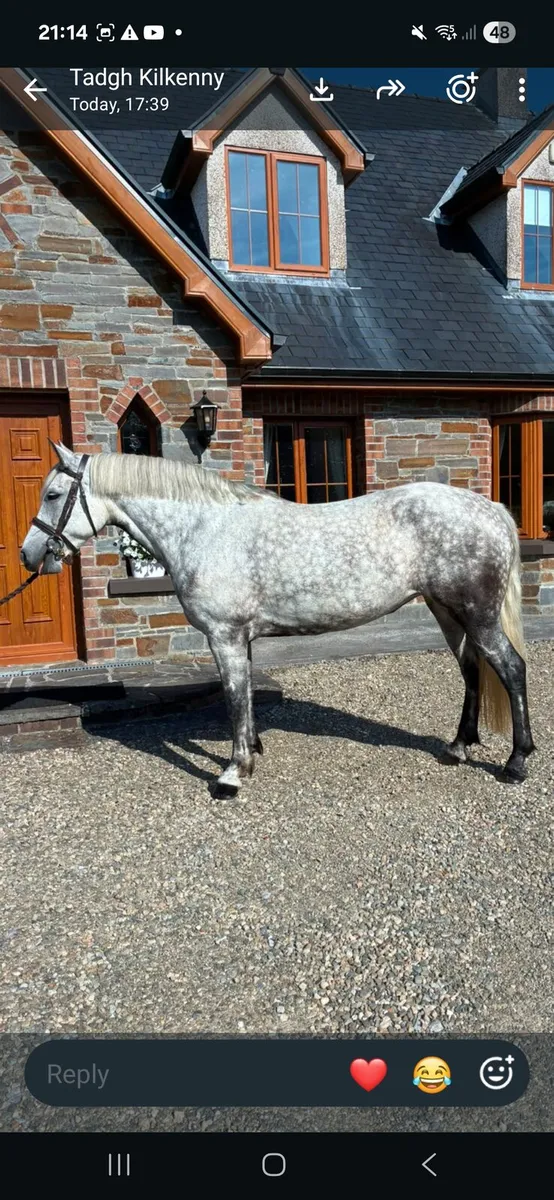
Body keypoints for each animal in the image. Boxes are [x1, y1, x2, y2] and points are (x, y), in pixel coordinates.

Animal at [21, 442, 535, 795]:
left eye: (53, 494)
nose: (28, 555)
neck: (205, 529)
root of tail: (490, 508)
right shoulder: (240, 639)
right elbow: (245, 698)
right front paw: (251, 751)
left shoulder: (225, 637)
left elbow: (233, 699)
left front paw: (231, 774)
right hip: (447, 612)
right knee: (472, 670)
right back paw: (458, 746)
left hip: (477, 615)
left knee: (511, 669)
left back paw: (516, 763)